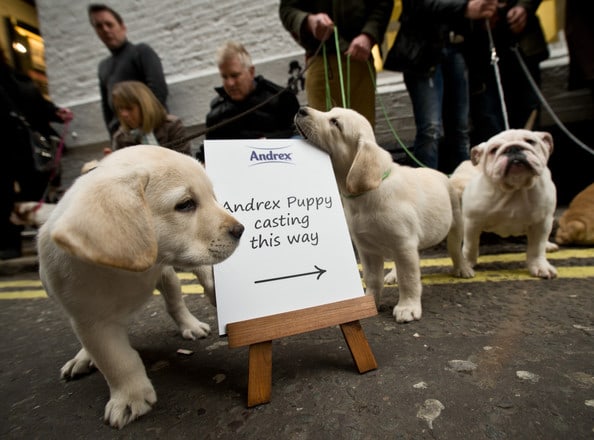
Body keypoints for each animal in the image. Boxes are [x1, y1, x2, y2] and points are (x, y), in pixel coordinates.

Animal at [37, 146, 243, 428]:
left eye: (212, 197)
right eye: (185, 204)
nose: (240, 229)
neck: (123, 268)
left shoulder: (180, 259)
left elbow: (205, 274)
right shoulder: (89, 320)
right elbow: (116, 360)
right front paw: (129, 398)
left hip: (168, 278)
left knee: (175, 303)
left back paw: (190, 325)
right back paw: (82, 358)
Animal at [294, 107, 474, 324]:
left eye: (335, 123)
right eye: (330, 111)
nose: (301, 110)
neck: (365, 196)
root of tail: (444, 175)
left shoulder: (403, 243)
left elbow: (409, 279)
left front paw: (407, 308)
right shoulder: (367, 248)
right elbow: (373, 279)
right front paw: (369, 303)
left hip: (455, 222)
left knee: (455, 249)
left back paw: (463, 269)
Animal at [450, 128, 556, 278]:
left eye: (530, 141)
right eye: (494, 150)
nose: (513, 148)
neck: (515, 189)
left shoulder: (542, 222)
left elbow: (537, 248)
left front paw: (540, 266)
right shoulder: (472, 222)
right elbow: (471, 244)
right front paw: (467, 263)